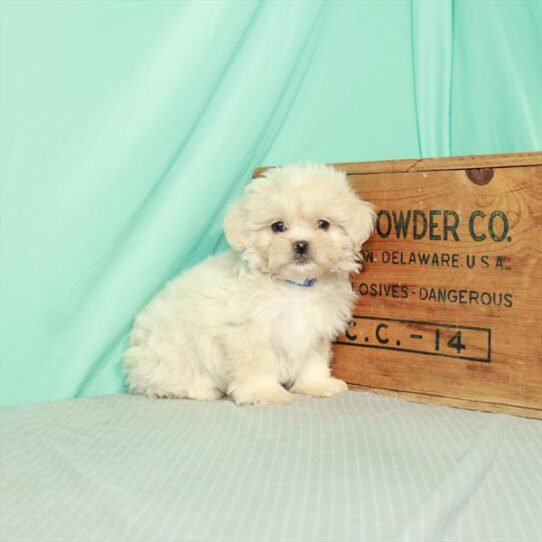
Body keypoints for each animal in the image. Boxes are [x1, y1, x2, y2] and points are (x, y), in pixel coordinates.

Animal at [125, 164, 376, 406]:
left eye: (323, 224)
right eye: (278, 226)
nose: (301, 245)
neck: (294, 285)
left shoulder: (315, 330)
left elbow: (312, 359)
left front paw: (316, 384)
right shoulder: (249, 331)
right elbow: (257, 363)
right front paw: (264, 392)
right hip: (172, 353)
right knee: (163, 382)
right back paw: (200, 389)